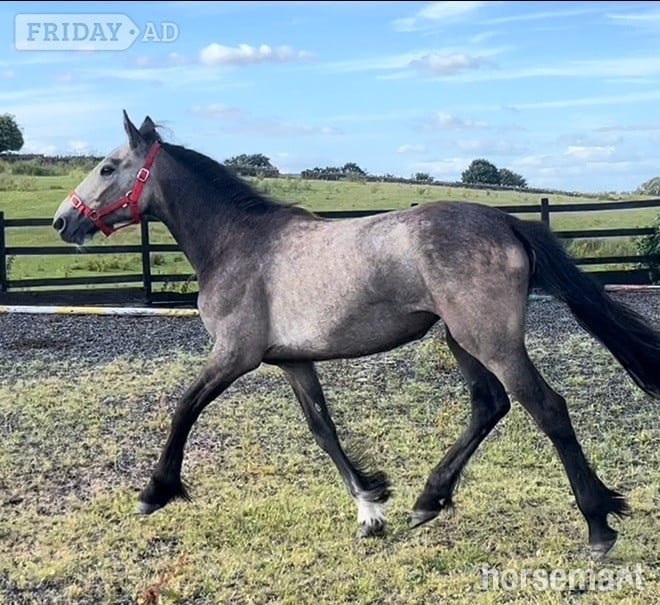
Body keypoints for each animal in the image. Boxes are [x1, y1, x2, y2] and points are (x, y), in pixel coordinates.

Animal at [53, 112, 660, 558]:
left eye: (107, 167)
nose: (63, 221)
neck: (237, 242)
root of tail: (507, 221)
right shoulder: (292, 361)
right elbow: (323, 430)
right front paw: (371, 508)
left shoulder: (234, 355)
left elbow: (184, 408)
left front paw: (155, 491)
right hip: (461, 340)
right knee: (489, 405)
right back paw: (428, 500)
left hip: (491, 340)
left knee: (546, 407)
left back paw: (598, 526)